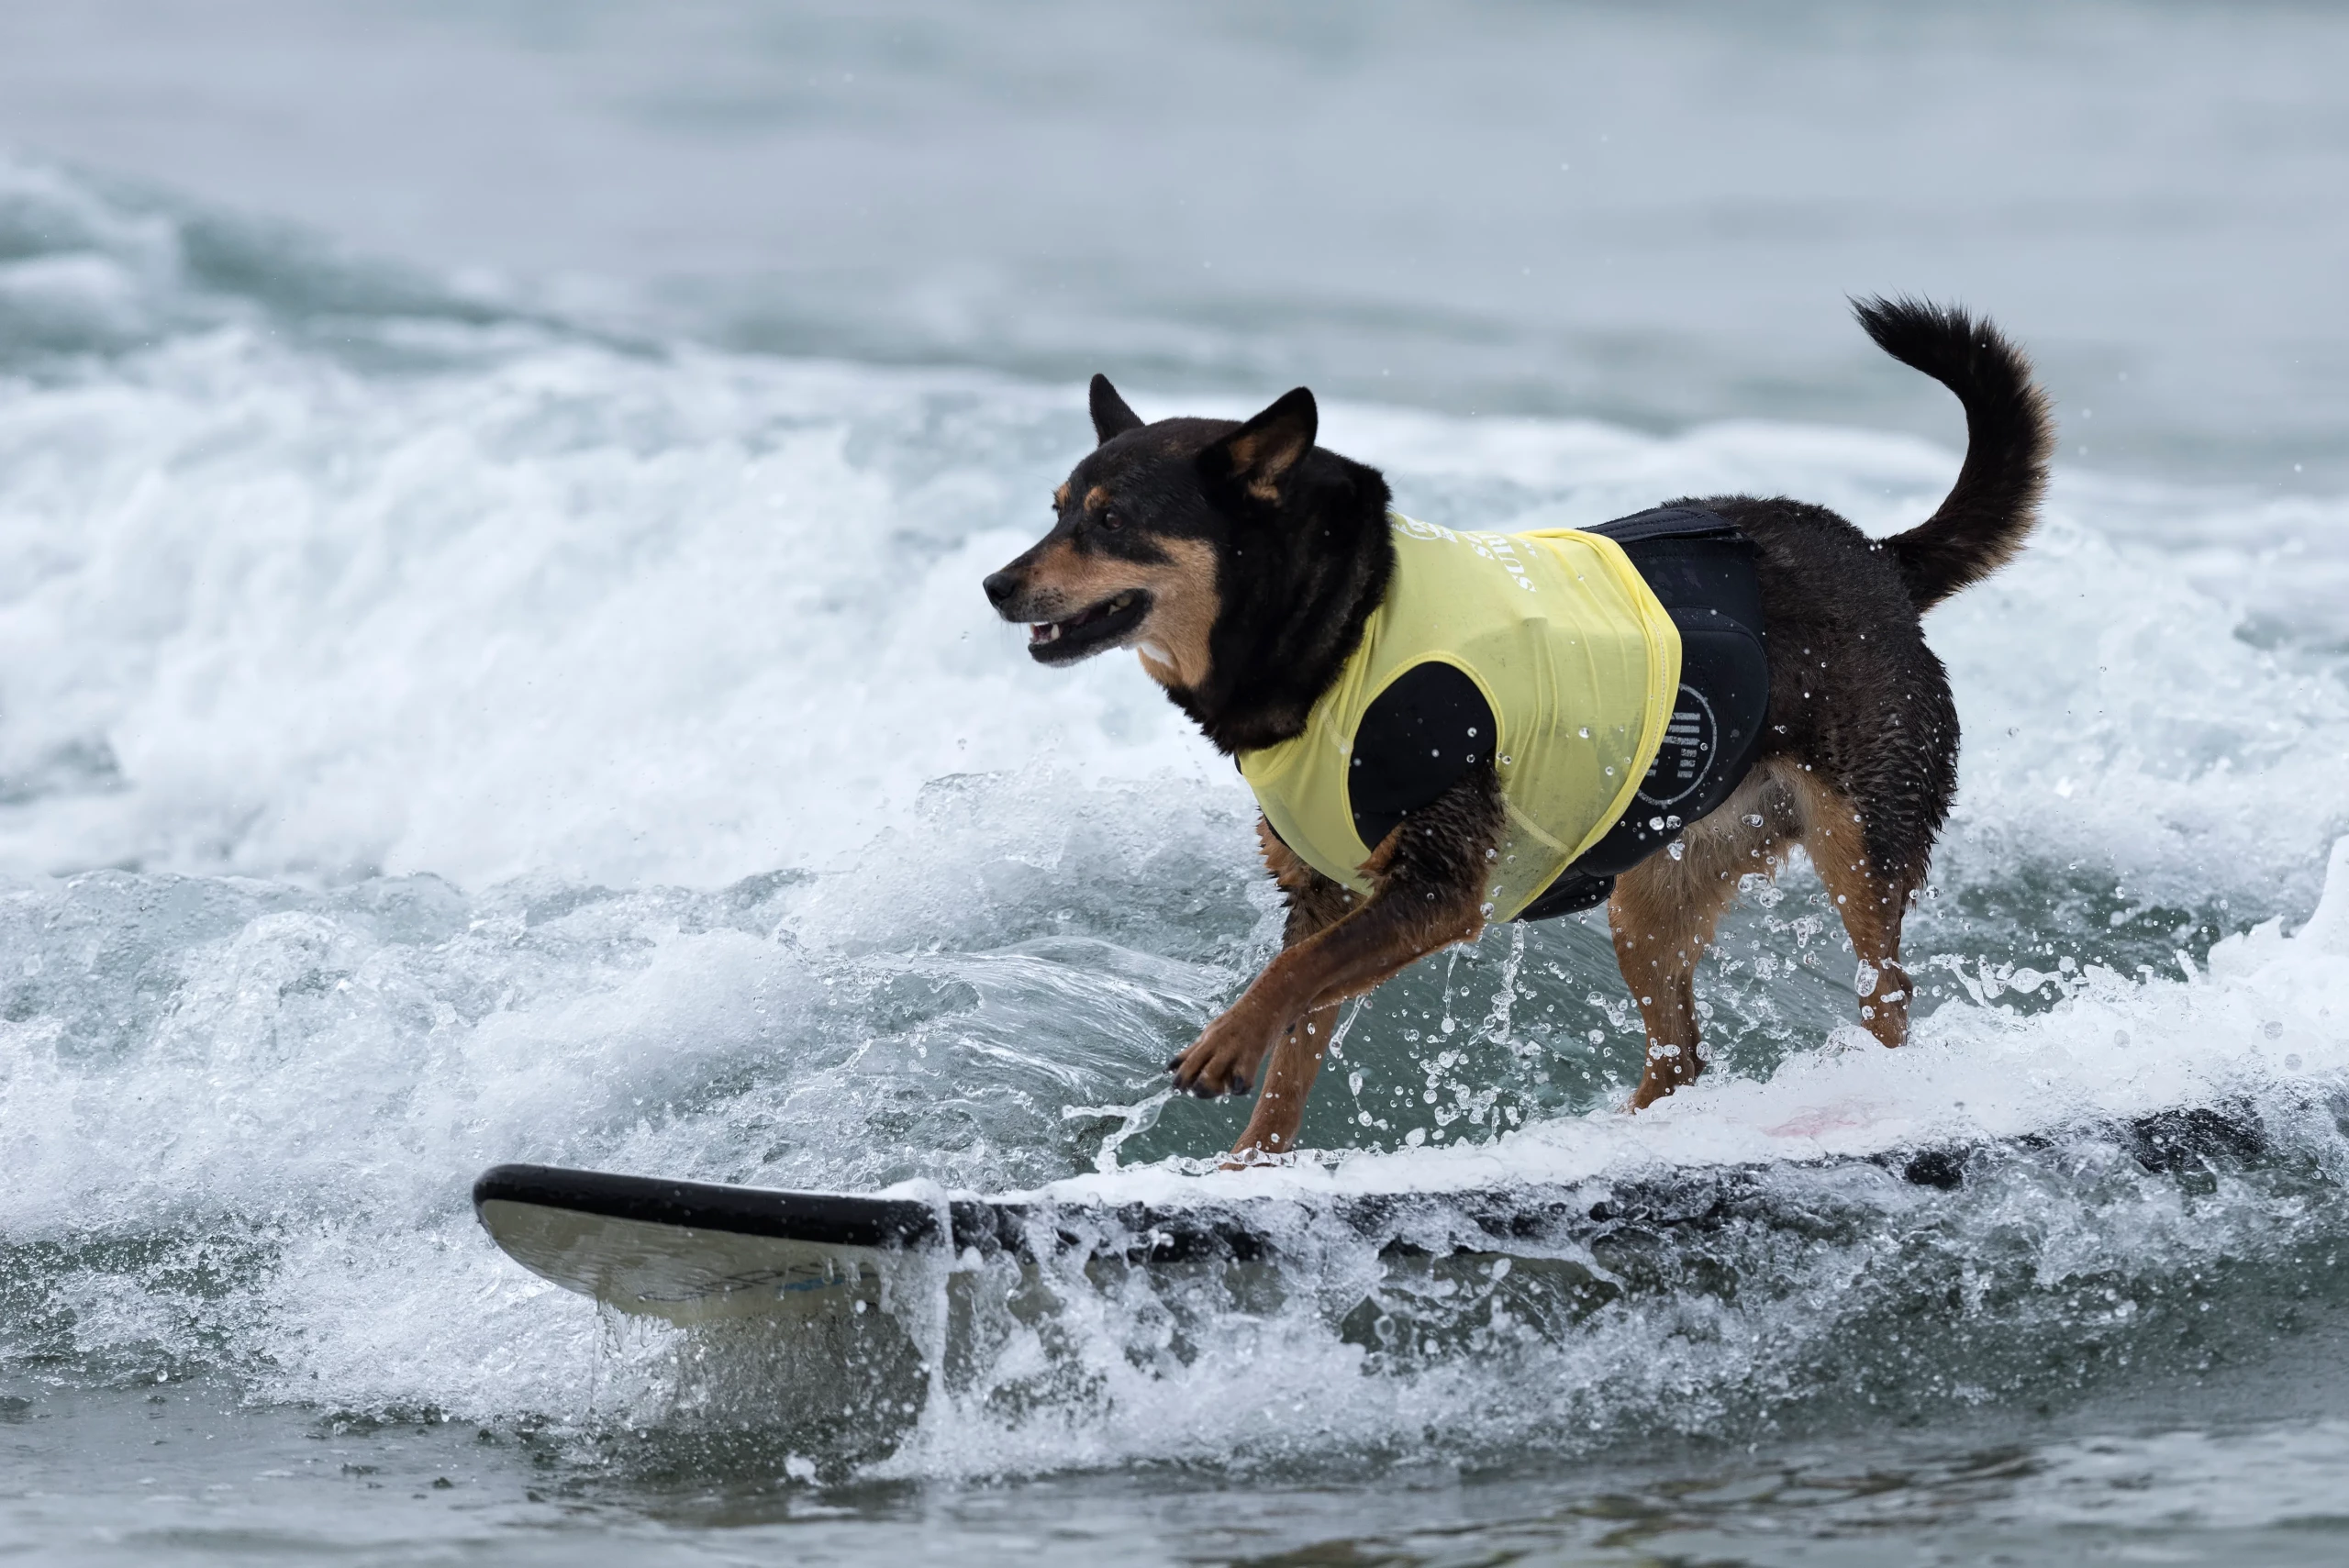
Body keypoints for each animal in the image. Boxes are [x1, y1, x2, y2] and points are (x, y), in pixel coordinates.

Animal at [982, 300, 2048, 1159]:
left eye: (1111, 520)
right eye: (1058, 510)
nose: (995, 583)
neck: (1341, 620)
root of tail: (1876, 557)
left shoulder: (1438, 885)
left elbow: (1292, 975)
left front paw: (1225, 1045)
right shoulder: (1329, 890)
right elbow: (1301, 1031)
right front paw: (1253, 1159)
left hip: (1861, 845)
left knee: (1887, 997)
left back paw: (1878, 1095)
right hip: (1654, 893)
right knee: (1682, 1053)